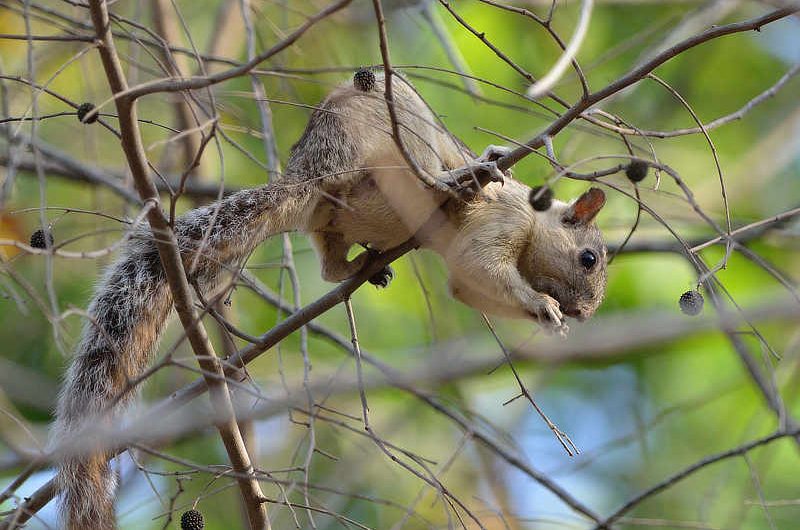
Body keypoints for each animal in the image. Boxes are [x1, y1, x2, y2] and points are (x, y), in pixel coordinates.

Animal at [54, 71, 608, 528]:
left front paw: (547, 315)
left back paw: (364, 265)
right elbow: (478, 267)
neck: (533, 216)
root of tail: (304, 175)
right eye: (589, 259)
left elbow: (467, 286)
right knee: (412, 167)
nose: (583, 314)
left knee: (327, 262)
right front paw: (543, 304)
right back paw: (458, 176)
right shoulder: (502, 220)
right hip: (383, 135)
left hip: (332, 218)